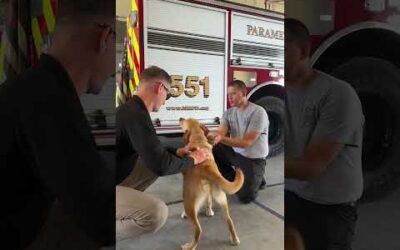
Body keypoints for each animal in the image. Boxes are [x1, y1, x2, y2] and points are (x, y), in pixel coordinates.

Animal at [180, 117, 244, 250]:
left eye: (185, 121)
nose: (180, 118)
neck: (198, 139)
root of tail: (207, 168)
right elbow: (209, 200)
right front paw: (209, 210)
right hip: (222, 198)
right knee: (229, 220)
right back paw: (235, 239)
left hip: (189, 202)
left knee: (198, 230)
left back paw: (190, 246)